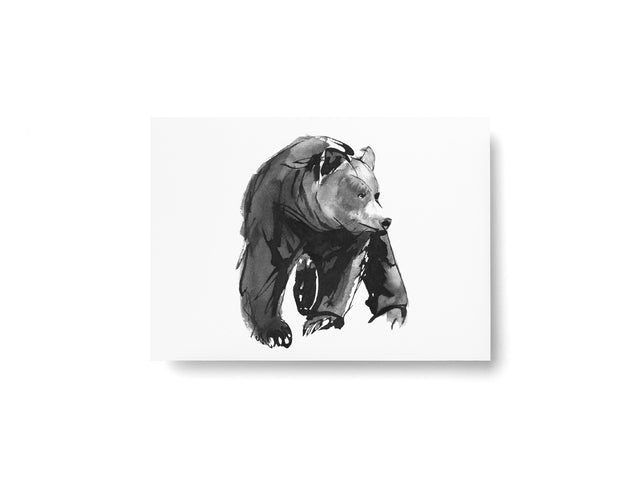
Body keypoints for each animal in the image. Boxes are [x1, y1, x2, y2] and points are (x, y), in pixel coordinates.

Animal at [237, 135, 408, 348]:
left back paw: (392, 312)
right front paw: (276, 332)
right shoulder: (277, 211)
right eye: (361, 193)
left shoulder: (348, 233)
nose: (385, 221)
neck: (315, 220)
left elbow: (342, 268)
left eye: (376, 194)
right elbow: (268, 263)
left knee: (384, 262)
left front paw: (321, 320)